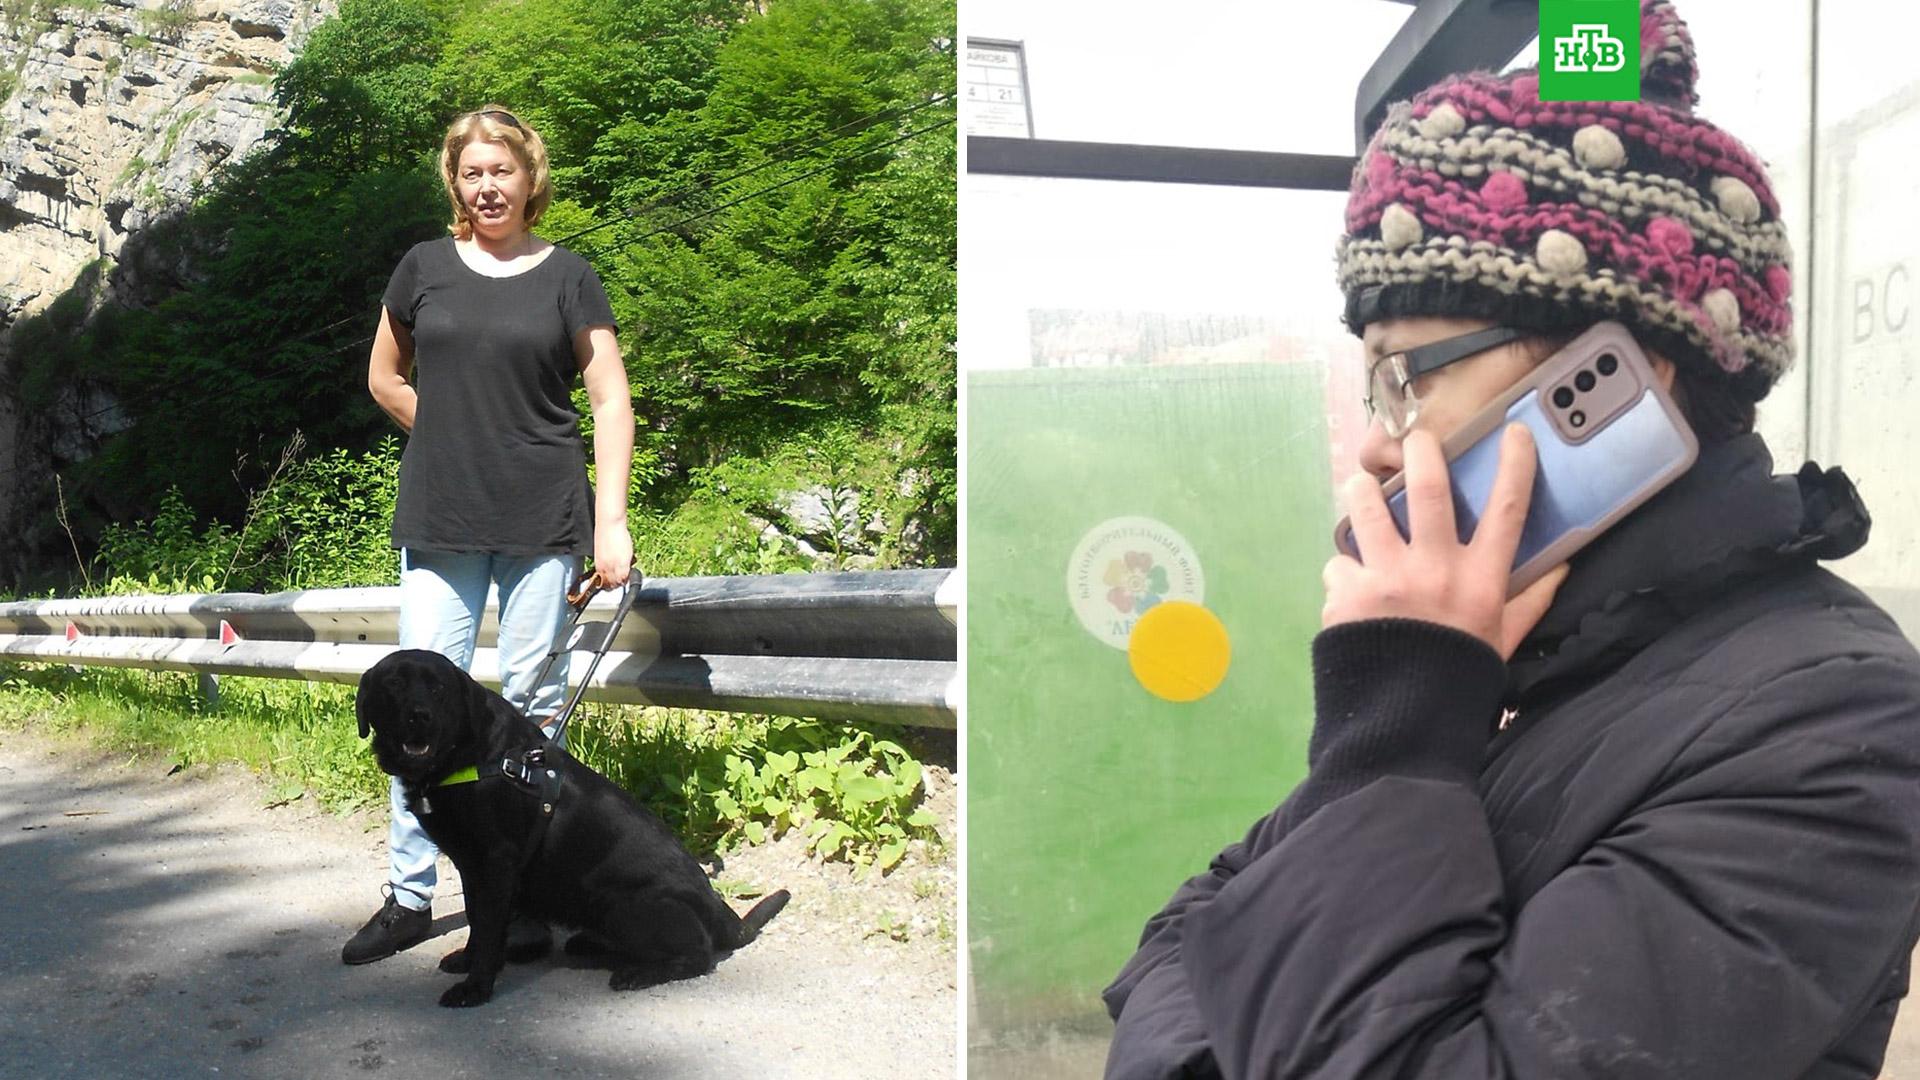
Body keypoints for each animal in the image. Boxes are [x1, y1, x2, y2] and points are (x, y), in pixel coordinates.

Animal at [355, 648, 789, 1008]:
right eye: (393, 683)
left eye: (438, 688)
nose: (419, 716)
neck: (467, 757)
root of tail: (721, 911)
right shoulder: (473, 868)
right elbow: (477, 922)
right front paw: (467, 959)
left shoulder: (495, 864)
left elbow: (489, 928)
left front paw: (476, 987)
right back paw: (591, 945)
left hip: (620, 903)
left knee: (698, 954)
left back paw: (638, 972)